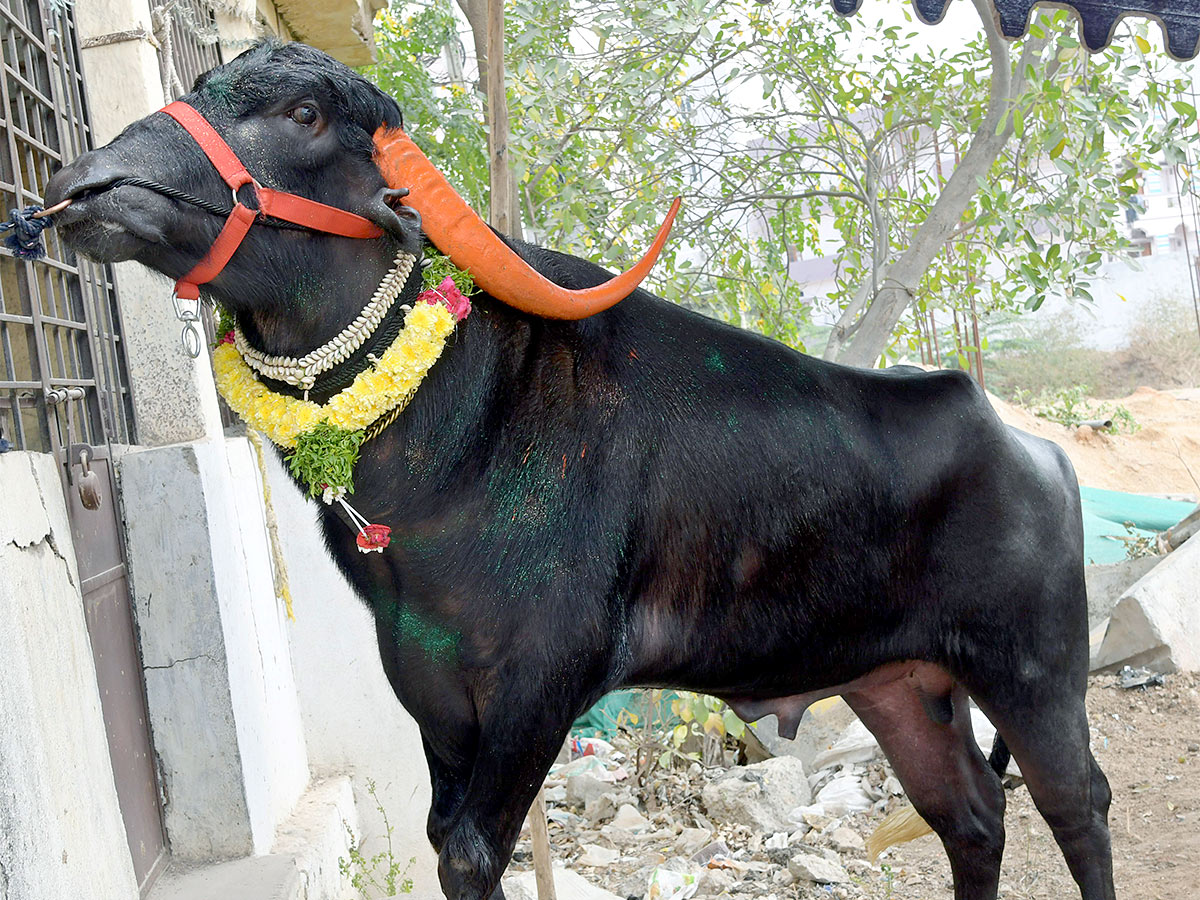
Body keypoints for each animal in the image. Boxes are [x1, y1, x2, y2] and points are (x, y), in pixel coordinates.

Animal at [46, 44, 1113, 900]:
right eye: (203, 89)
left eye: (303, 114)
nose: (88, 184)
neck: (454, 433)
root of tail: (1037, 452)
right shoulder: (429, 685)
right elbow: (443, 839)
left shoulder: (545, 681)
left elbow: (472, 852)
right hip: (898, 685)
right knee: (969, 817)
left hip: (1035, 674)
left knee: (1076, 804)